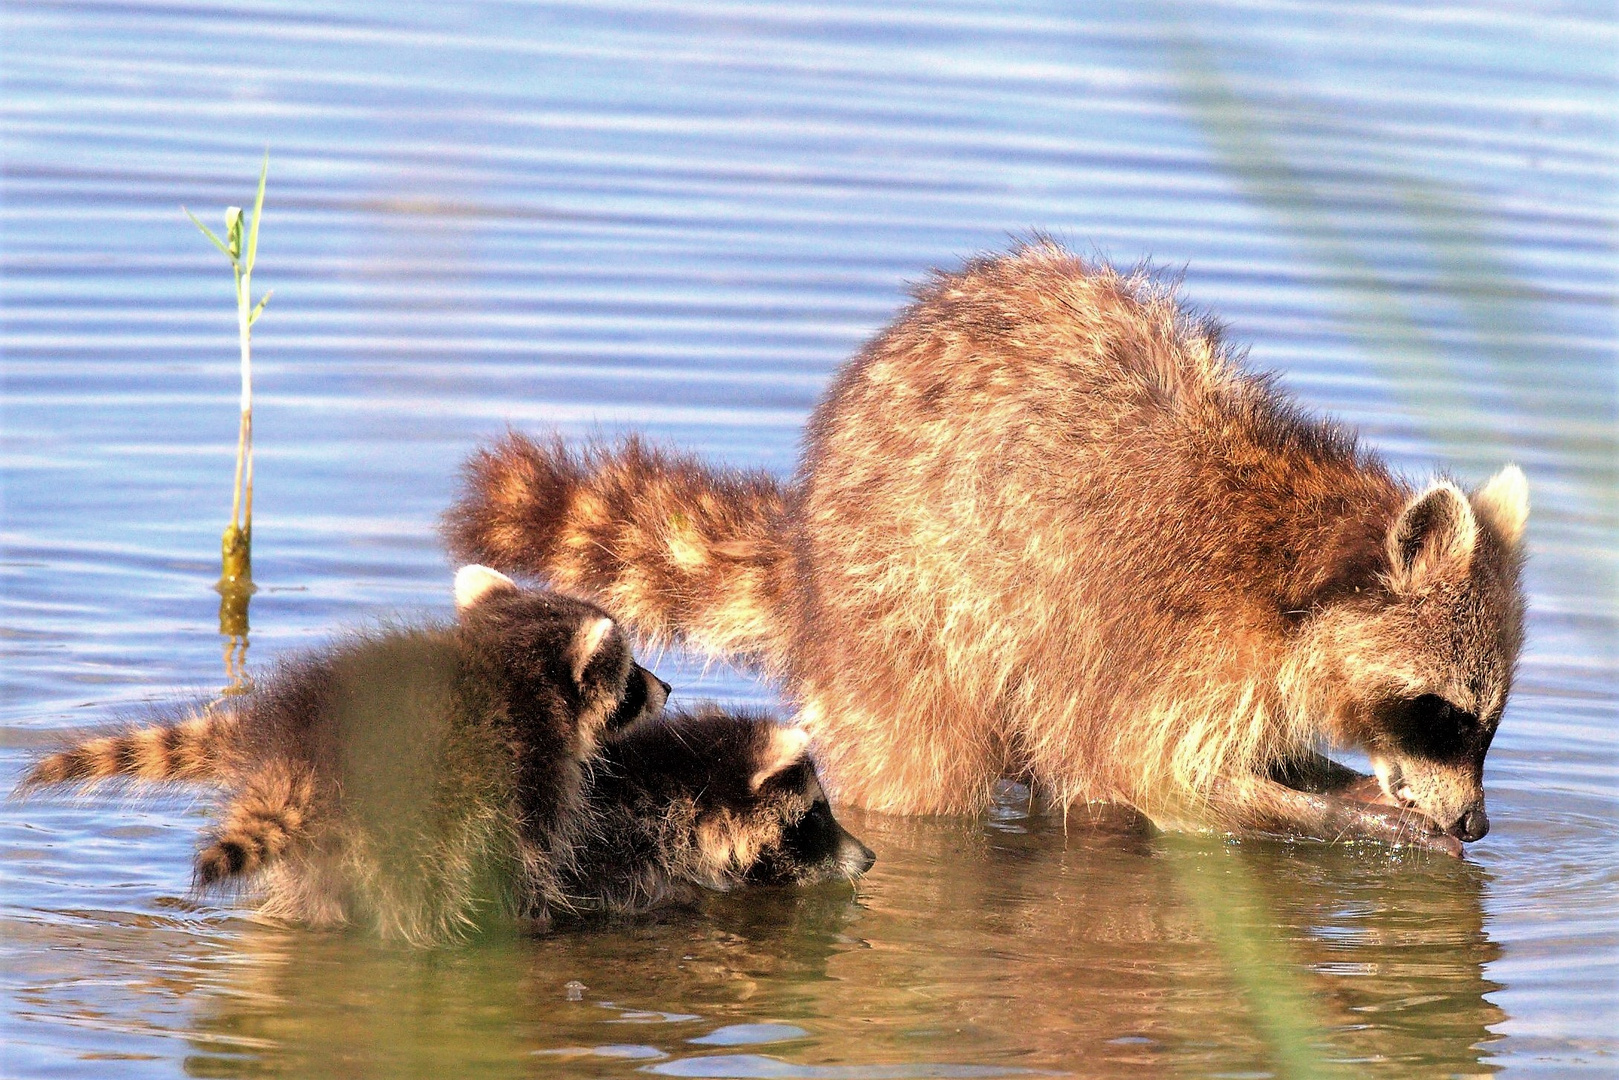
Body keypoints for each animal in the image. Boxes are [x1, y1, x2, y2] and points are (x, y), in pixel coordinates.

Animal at [453, 242, 1528, 854]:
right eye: (1445, 716)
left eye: (1489, 720)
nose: (1476, 822)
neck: (1294, 548)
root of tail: (807, 546)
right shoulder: (1177, 640)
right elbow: (1154, 776)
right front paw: (1347, 815)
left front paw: (1340, 785)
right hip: (899, 608)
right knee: (925, 773)